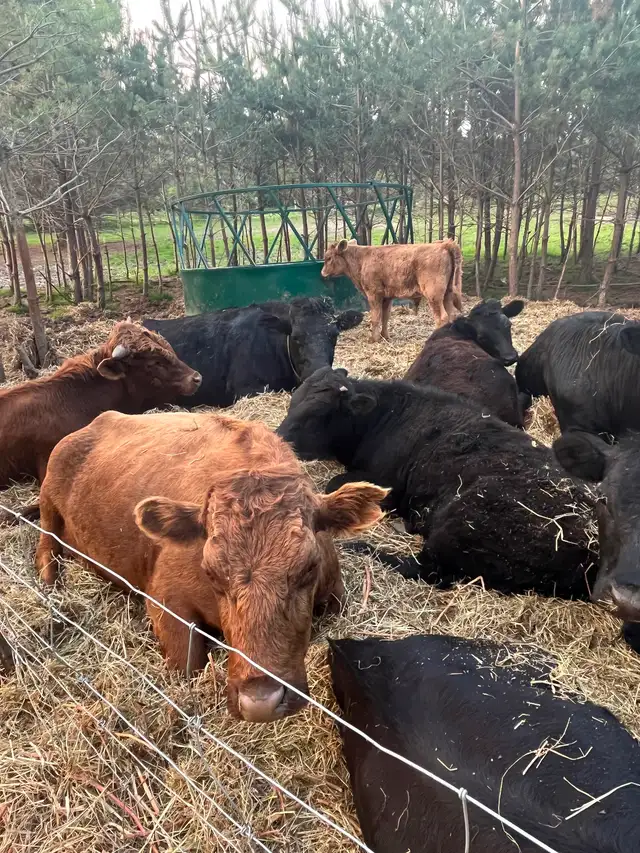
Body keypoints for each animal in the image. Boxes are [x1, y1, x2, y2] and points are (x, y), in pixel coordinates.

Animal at [35, 410, 387, 723]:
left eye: (309, 568)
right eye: (211, 573)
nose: (260, 702)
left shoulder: (335, 589)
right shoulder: (165, 599)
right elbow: (188, 665)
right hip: (49, 492)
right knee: (45, 538)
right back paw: (49, 581)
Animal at [277, 367, 596, 602]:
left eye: (319, 413)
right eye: (293, 402)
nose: (278, 440)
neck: (384, 417)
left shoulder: (385, 484)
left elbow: (335, 484)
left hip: (457, 523)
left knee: (424, 569)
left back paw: (362, 547)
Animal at [320, 238, 463, 342]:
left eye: (328, 258)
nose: (322, 273)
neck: (362, 260)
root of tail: (444, 245)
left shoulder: (373, 294)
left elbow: (375, 317)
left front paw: (373, 339)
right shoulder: (387, 297)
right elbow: (385, 317)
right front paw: (384, 336)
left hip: (434, 296)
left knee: (442, 317)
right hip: (447, 294)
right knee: (450, 315)